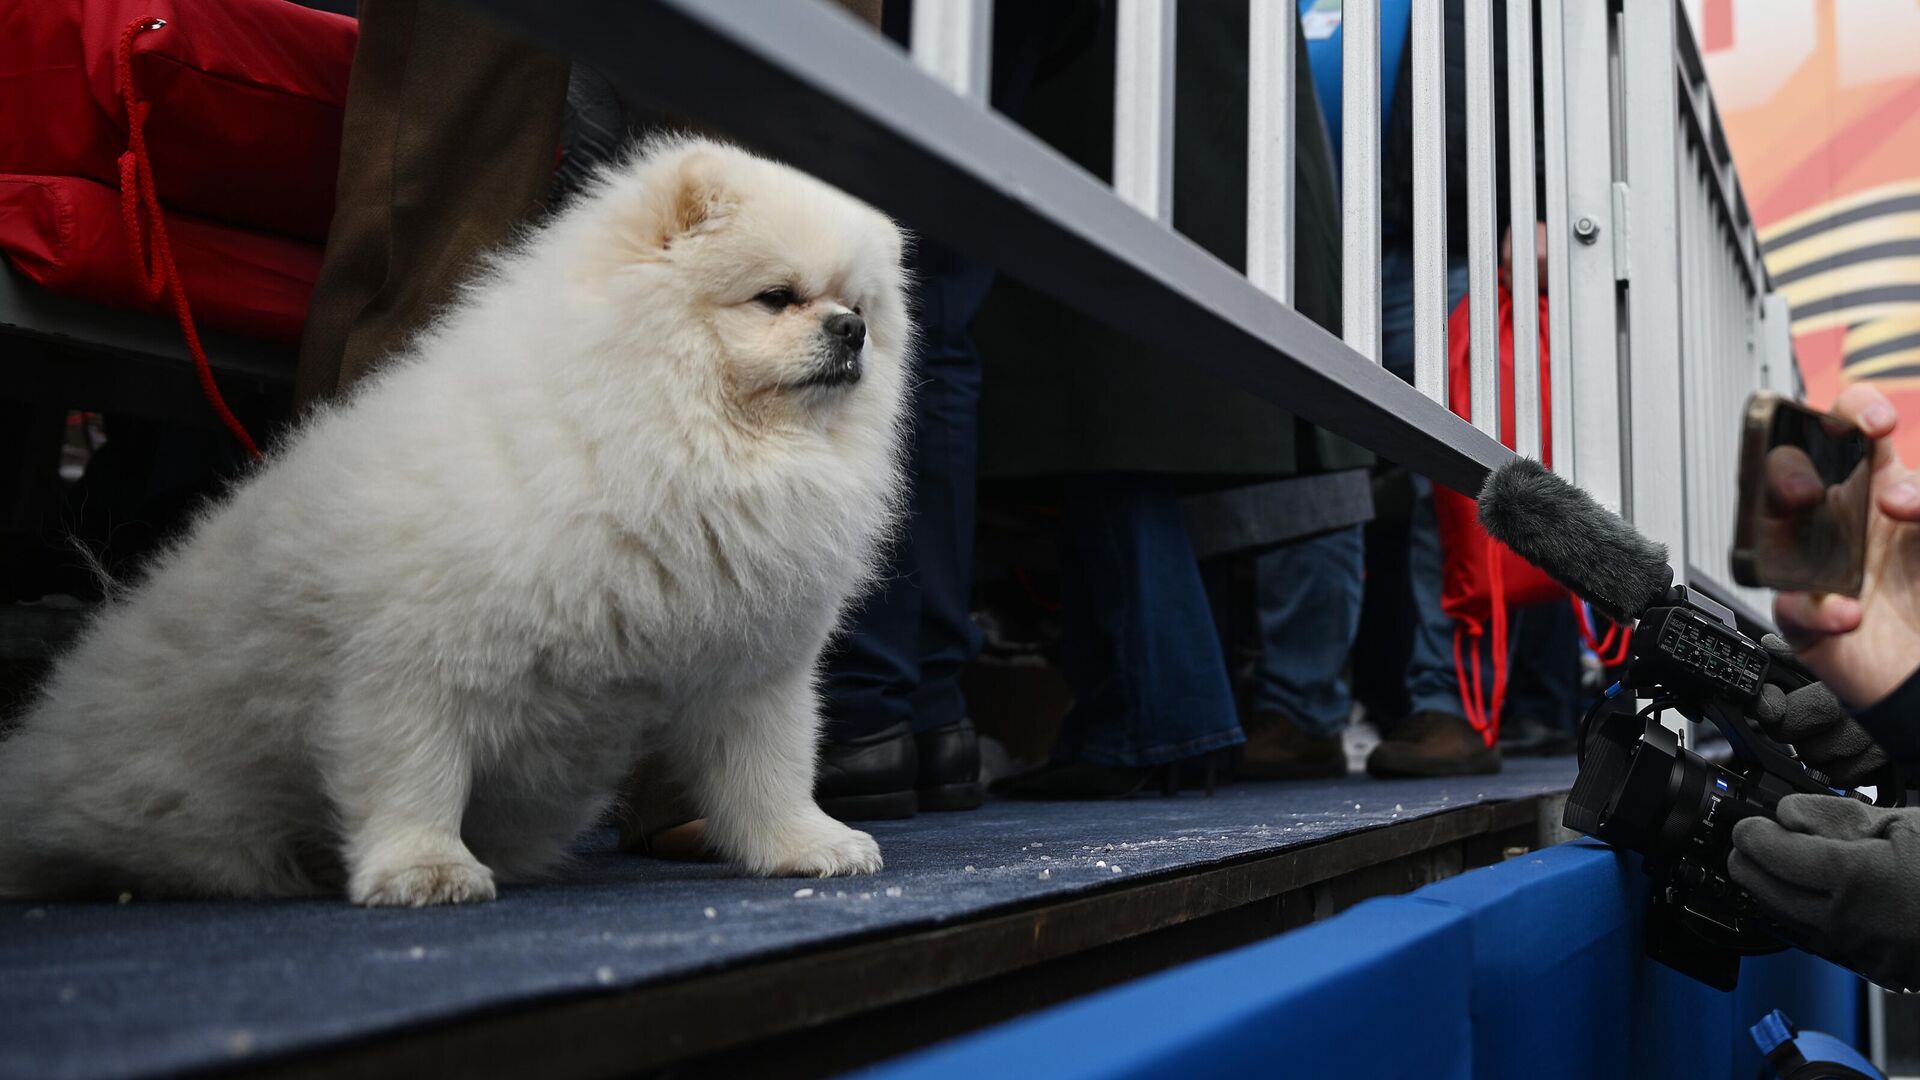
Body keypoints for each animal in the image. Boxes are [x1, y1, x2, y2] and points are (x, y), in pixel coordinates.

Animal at [0, 138, 910, 903]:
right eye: (776, 298)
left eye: (858, 304)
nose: (851, 330)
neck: (669, 429)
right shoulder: (413, 662)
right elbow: (415, 774)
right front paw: (424, 868)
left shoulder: (752, 667)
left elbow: (770, 773)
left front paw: (806, 845)